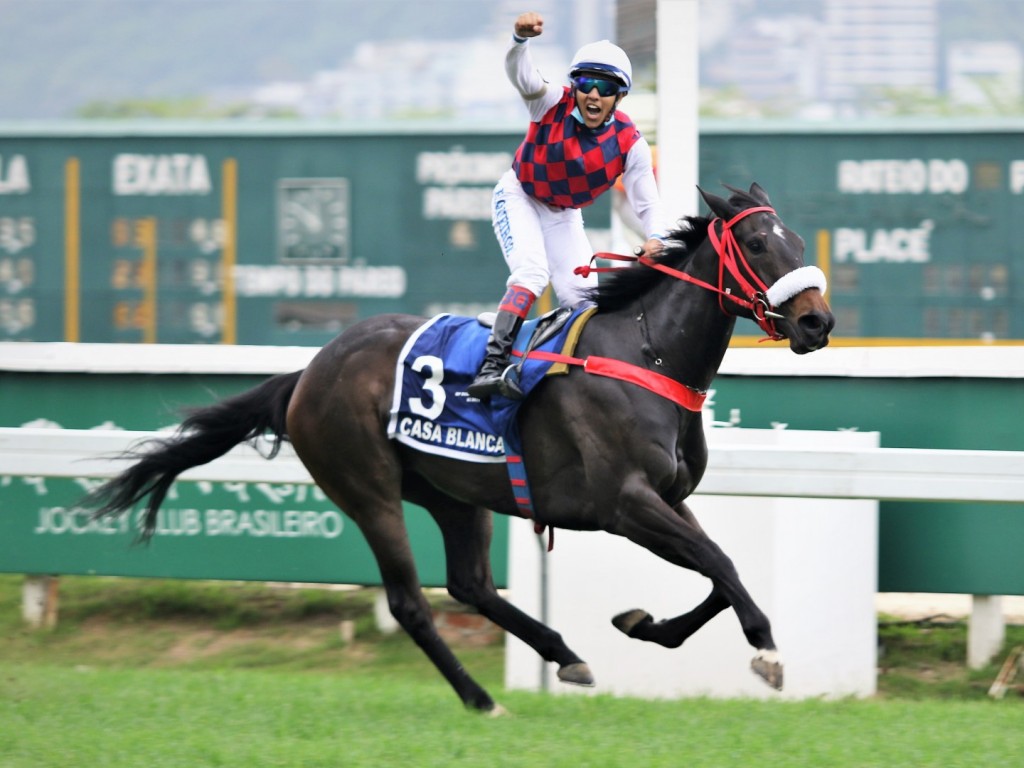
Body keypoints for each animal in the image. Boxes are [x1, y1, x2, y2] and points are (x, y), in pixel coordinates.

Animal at [88, 182, 835, 716]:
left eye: (798, 239)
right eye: (760, 245)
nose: (817, 322)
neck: (644, 351)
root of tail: (310, 372)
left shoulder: (669, 498)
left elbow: (718, 572)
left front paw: (644, 624)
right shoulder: (624, 503)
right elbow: (720, 564)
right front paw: (767, 652)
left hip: (456, 492)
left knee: (470, 583)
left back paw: (562, 653)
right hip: (367, 489)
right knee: (411, 602)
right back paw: (481, 698)